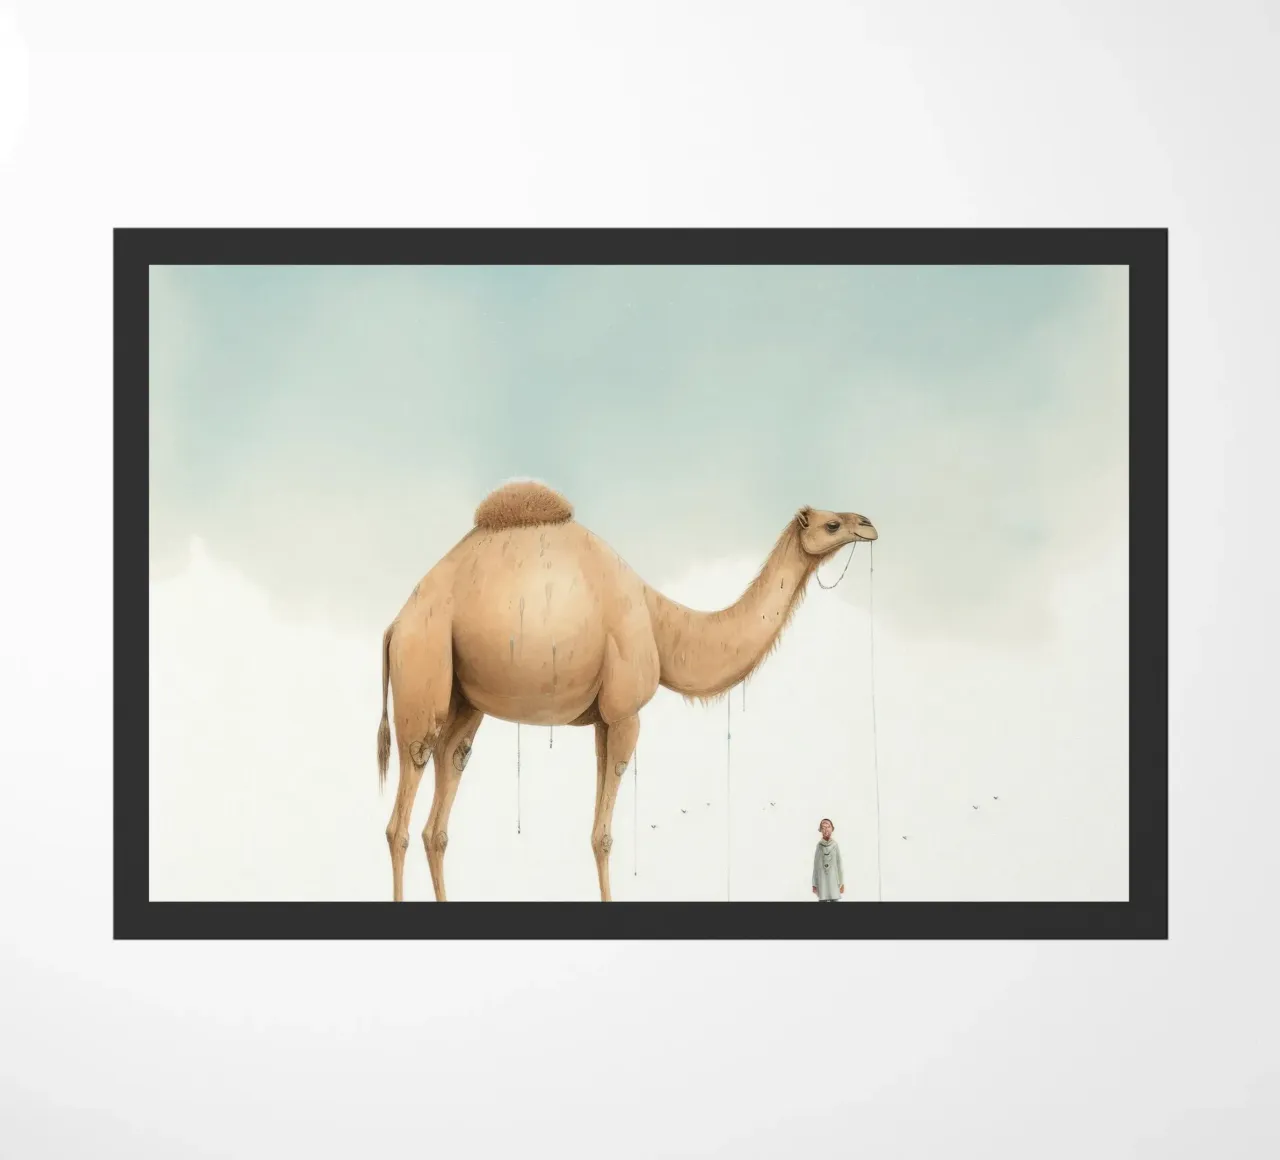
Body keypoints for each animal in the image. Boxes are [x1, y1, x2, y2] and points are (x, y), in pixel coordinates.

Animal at [375, 480, 877, 902]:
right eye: (832, 524)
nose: (867, 523)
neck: (661, 625)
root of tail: (394, 626)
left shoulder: (603, 718)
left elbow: (596, 823)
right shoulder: (626, 712)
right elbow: (603, 836)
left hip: (463, 702)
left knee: (441, 803)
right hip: (422, 669)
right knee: (400, 816)